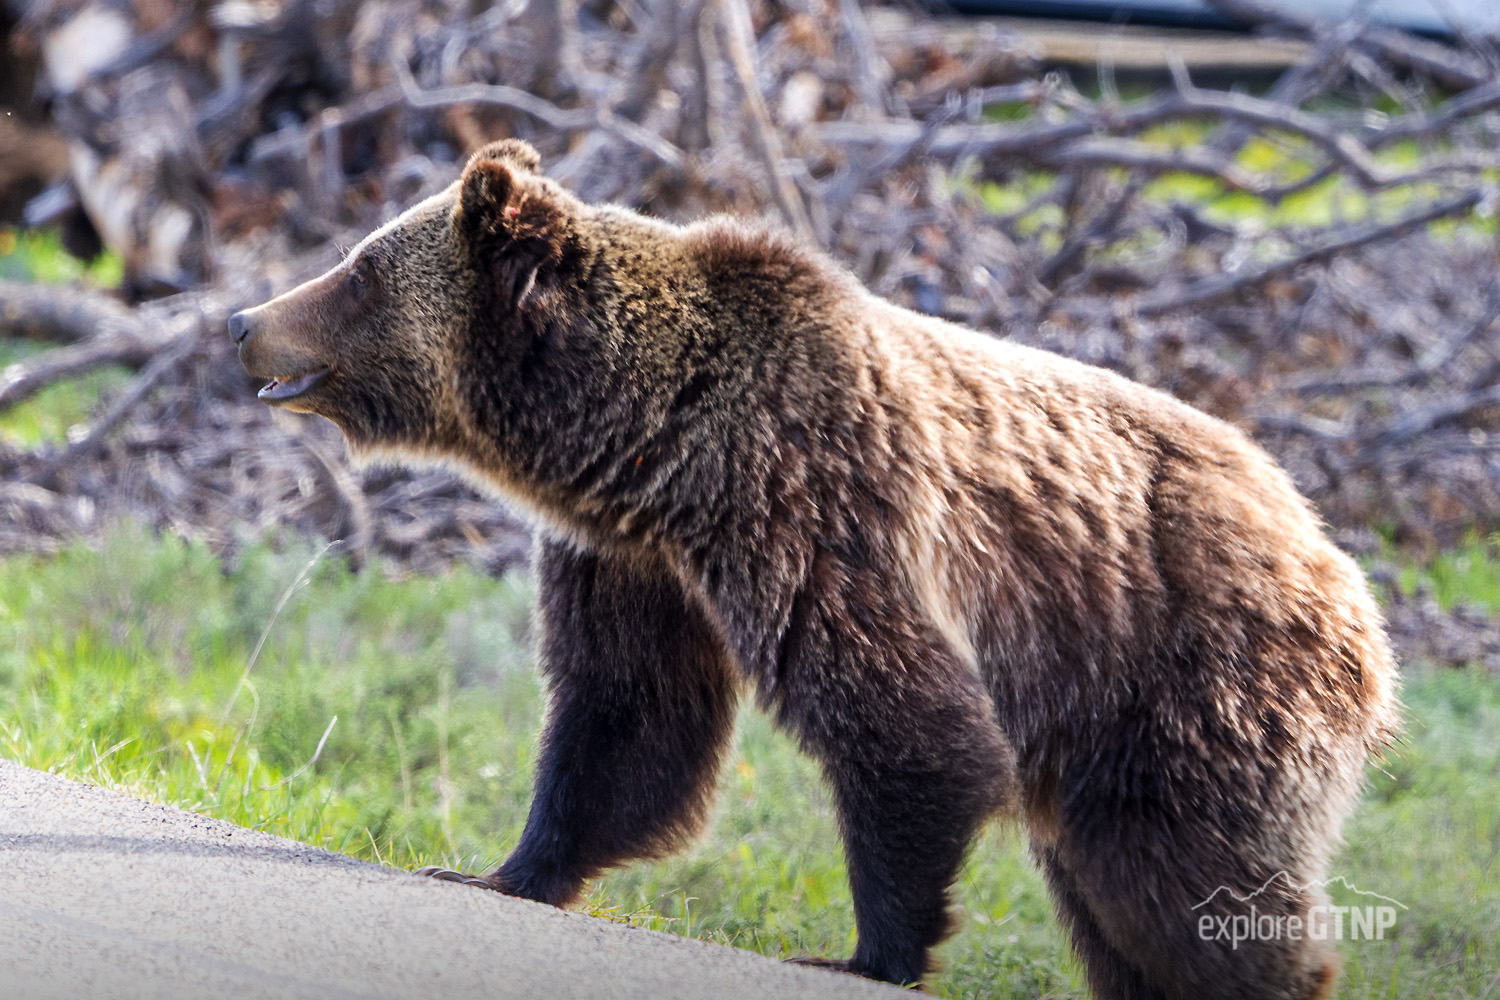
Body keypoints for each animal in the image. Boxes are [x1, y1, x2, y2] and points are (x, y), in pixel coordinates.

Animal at [229, 138, 1400, 999]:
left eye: (361, 269)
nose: (243, 321)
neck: (656, 442)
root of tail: (1338, 562)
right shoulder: (637, 558)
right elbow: (624, 716)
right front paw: (506, 866)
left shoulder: (814, 499)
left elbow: (908, 716)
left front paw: (868, 948)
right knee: (1126, 899)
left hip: (1196, 684)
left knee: (1189, 884)